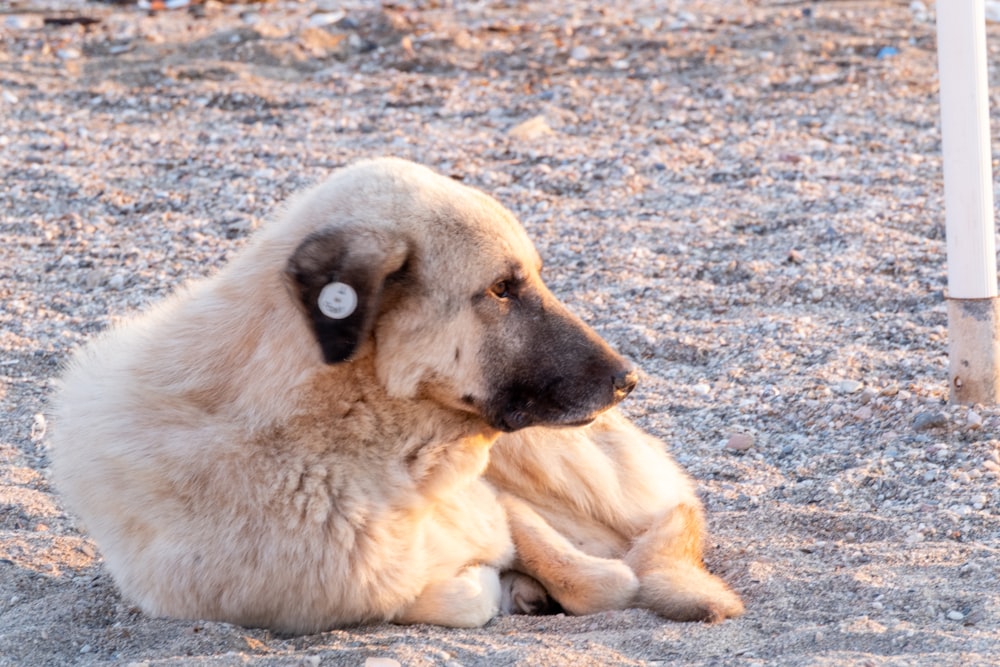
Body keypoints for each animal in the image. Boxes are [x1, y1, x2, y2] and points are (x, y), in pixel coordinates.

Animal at [52, 159, 744, 636]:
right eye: (502, 288)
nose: (629, 379)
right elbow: (465, 593)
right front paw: (498, 583)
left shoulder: (502, 498)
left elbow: (586, 572)